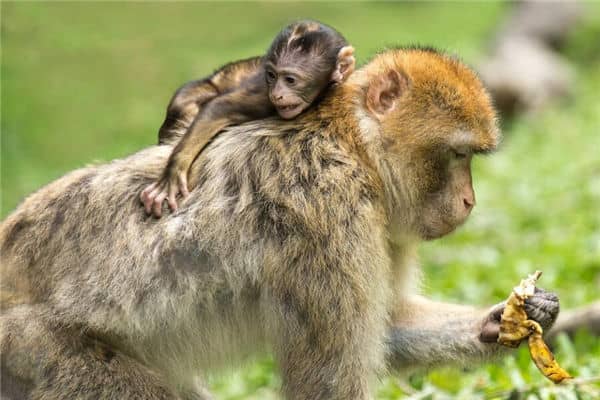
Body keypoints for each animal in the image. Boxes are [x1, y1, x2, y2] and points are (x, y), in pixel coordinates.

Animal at [1, 48, 556, 398]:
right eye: (459, 154)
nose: (468, 200)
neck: (352, 146)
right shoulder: (327, 213)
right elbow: (329, 383)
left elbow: (388, 324)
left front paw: (506, 320)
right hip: (31, 348)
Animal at [141, 20, 356, 217]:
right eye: (271, 75)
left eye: (290, 80)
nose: (278, 94)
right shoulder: (263, 97)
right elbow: (219, 108)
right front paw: (172, 174)